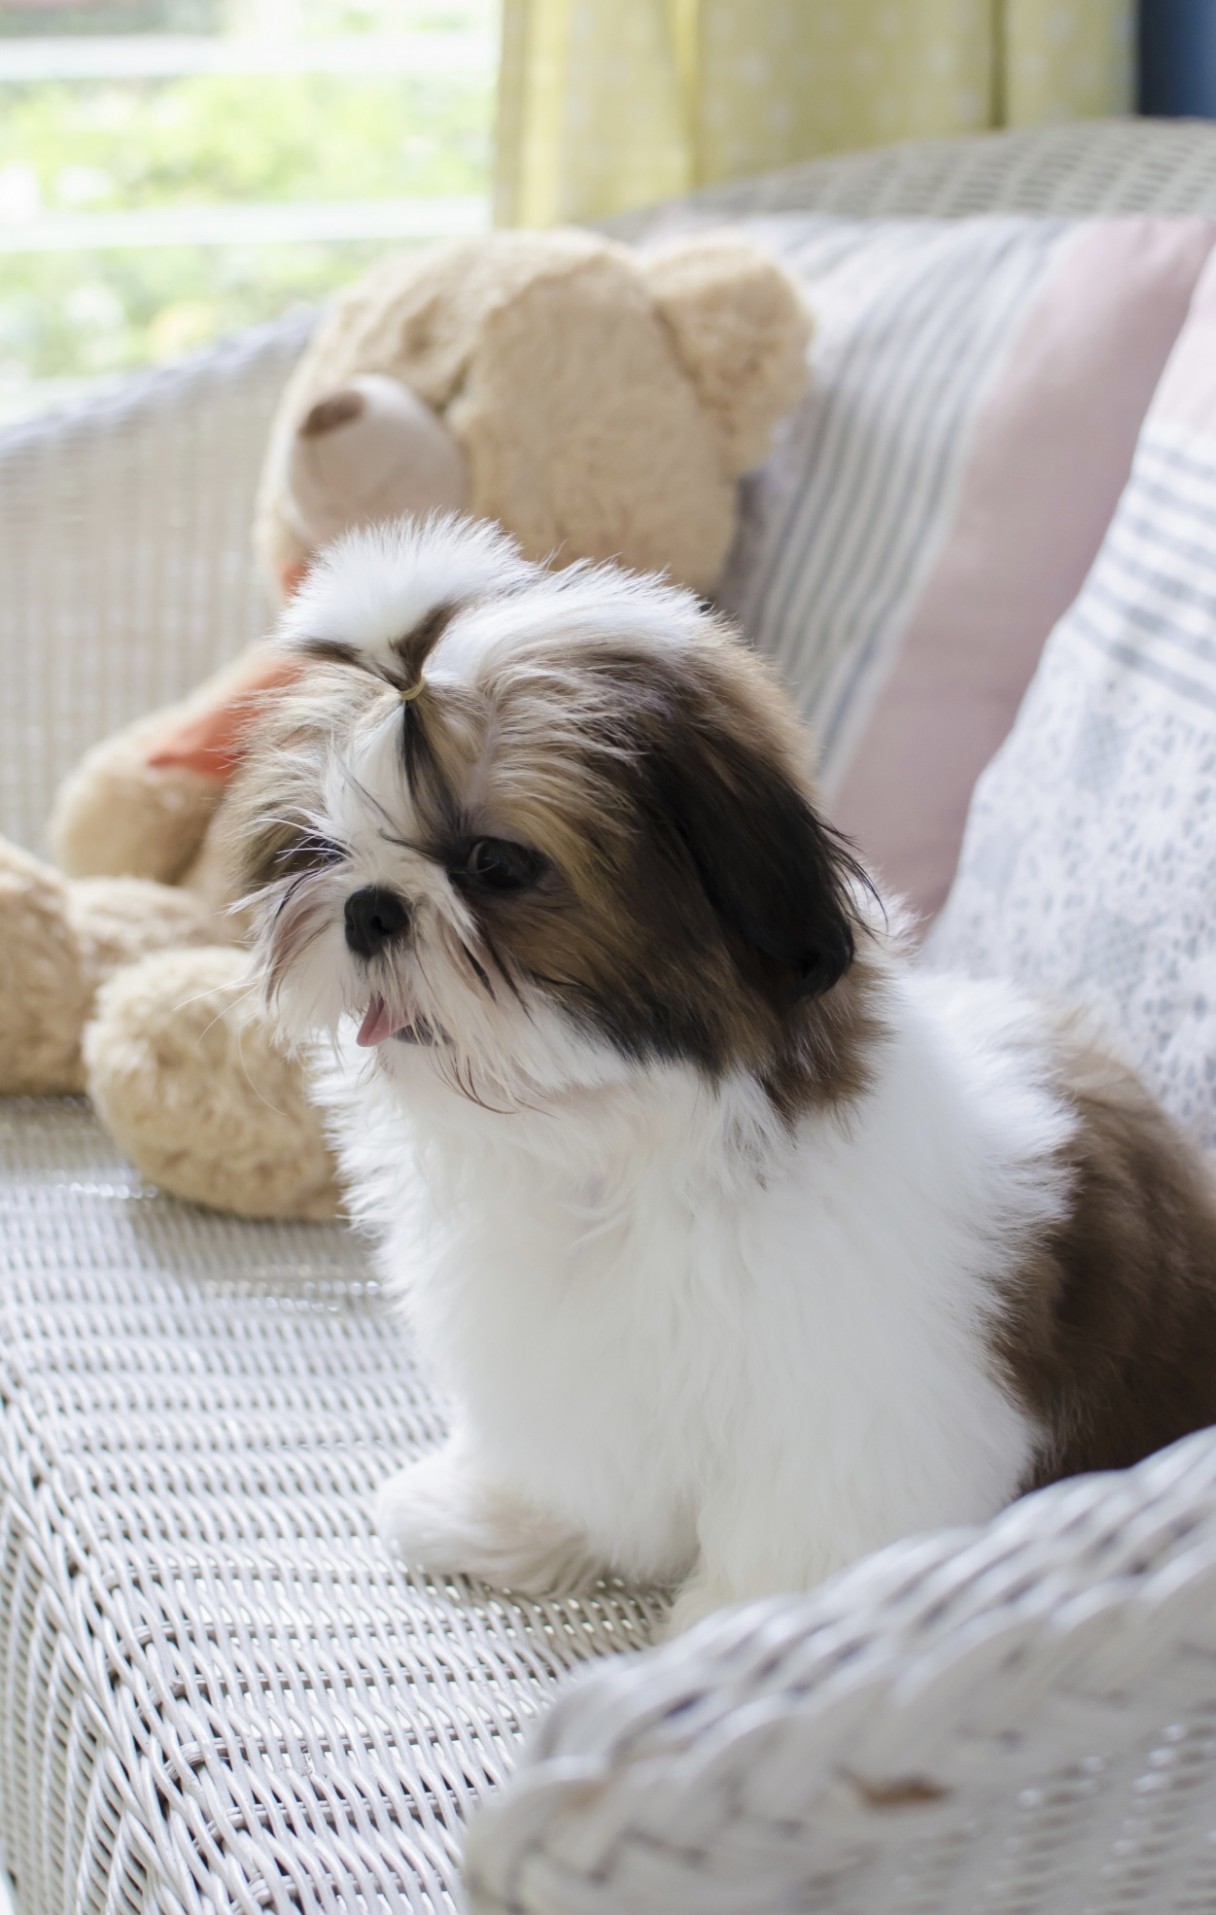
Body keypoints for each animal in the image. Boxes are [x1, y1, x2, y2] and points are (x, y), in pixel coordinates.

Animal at [240, 513, 1216, 1631]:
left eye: (496, 863)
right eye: (326, 845)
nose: (368, 907)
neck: (610, 1149)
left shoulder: (857, 1417)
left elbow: (806, 1527)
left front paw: (757, 1622)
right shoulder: (561, 1367)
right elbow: (568, 1453)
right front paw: (508, 1517)